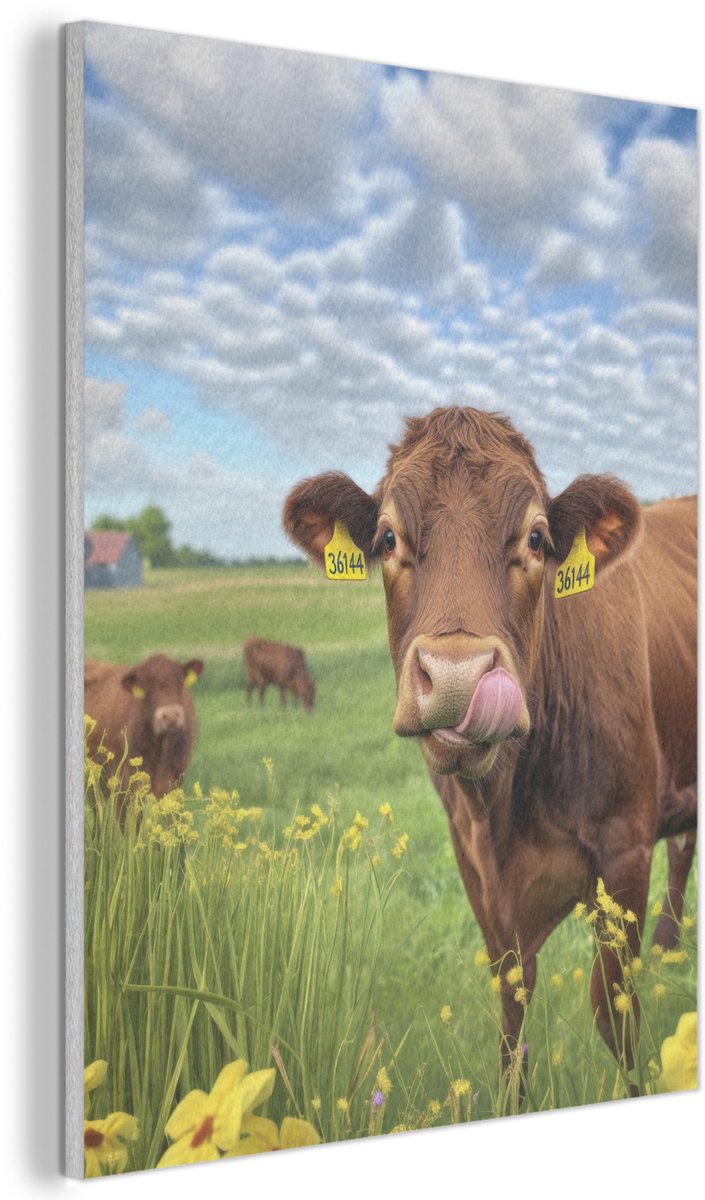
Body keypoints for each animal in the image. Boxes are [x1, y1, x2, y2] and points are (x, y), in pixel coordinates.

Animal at [283, 406, 697, 1077]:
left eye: (537, 540)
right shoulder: (474, 863)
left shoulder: (626, 848)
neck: (506, 807)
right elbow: (512, 1004)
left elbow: (614, 1011)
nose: (458, 676)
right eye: (388, 539)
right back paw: (670, 946)